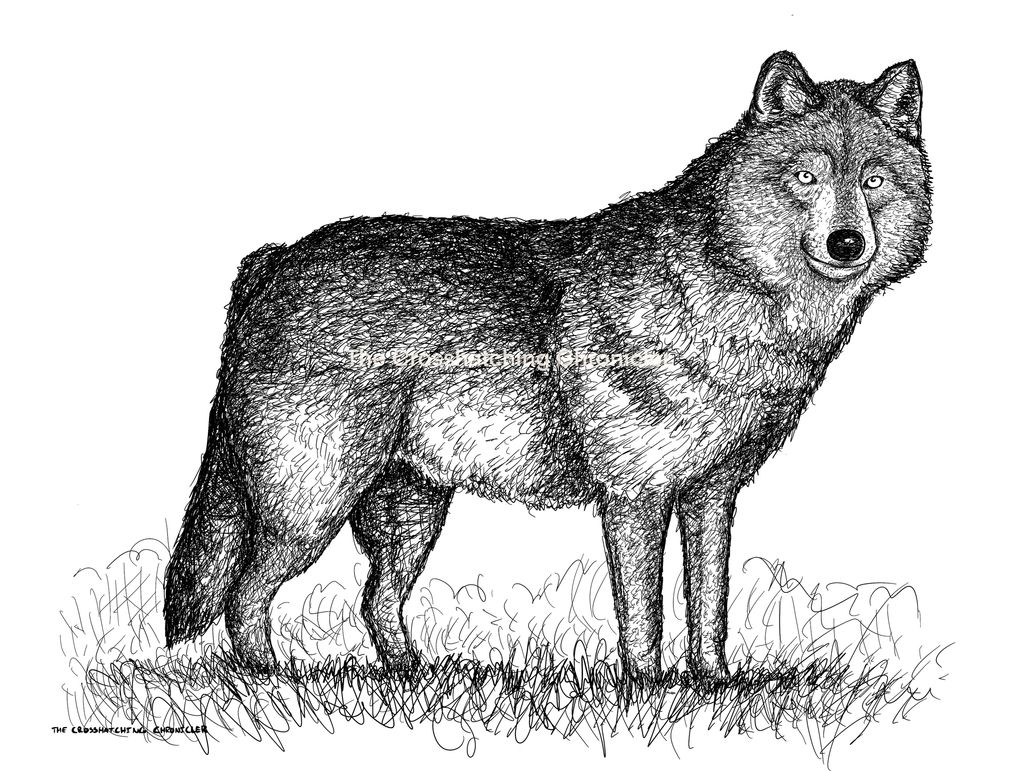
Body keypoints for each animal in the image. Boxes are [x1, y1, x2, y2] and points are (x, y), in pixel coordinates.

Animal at [164, 51, 931, 684]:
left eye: (872, 181)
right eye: (805, 177)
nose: (847, 243)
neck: (728, 289)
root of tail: (272, 259)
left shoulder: (711, 497)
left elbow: (709, 604)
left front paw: (714, 684)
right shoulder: (635, 496)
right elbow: (644, 613)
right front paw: (648, 690)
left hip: (413, 513)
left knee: (374, 600)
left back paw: (416, 676)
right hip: (309, 512)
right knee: (245, 593)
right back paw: (271, 678)